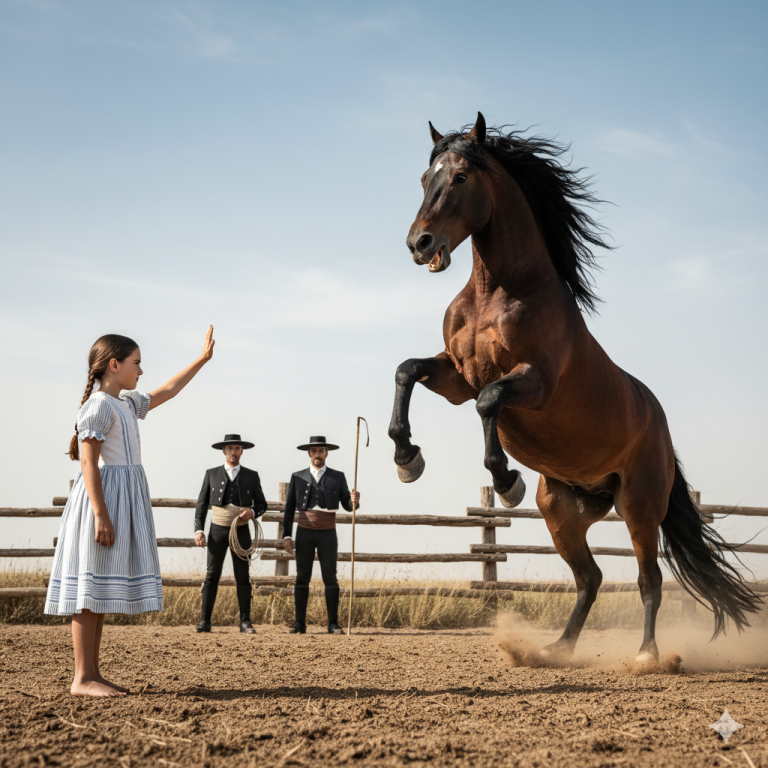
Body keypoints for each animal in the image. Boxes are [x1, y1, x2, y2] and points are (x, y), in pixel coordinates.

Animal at [388, 112, 762, 665]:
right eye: (423, 179)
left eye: (460, 177)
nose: (420, 244)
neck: (497, 292)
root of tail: (661, 428)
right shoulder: (456, 375)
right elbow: (406, 370)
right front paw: (407, 459)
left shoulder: (533, 383)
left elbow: (489, 402)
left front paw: (506, 481)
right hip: (564, 513)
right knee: (591, 578)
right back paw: (554, 650)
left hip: (639, 508)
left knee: (648, 580)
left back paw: (647, 657)